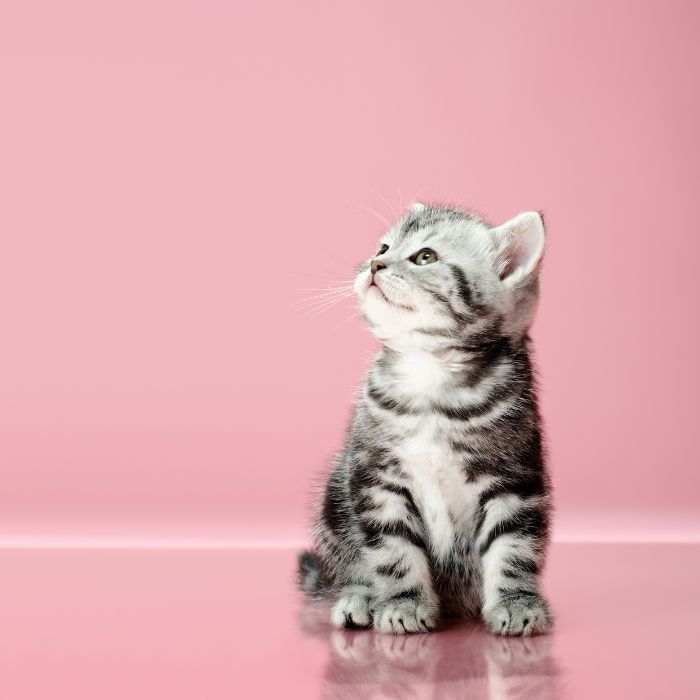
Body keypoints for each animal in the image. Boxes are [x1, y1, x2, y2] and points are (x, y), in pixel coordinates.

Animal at [300, 202, 552, 636]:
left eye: (425, 257)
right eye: (383, 246)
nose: (375, 264)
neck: (429, 371)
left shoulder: (513, 478)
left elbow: (513, 547)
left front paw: (516, 602)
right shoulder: (377, 480)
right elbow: (394, 551)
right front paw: (404, 604)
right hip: (334, 497)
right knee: (349, 567)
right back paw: (359, 598)